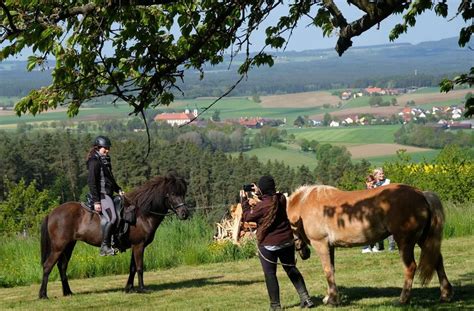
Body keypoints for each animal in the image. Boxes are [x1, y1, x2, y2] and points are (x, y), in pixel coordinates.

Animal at [39, 173, 190, 300]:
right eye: (172, 193)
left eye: (183, 193)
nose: (184, 213)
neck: (142, 214)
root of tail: (51, 213)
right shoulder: (139, 245)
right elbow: (140, 267)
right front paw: (142, 289)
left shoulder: (135, 246)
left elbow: (132, 268)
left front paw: (129, 288)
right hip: (59, 247)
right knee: (48, 266)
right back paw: (43, 295)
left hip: (69, 245)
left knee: (62, 266)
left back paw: (68, 292)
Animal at [286, 184, 454, 306]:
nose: (305, 254)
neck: (304, 204)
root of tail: (421, 194)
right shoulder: (330, 247)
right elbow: (332, 270)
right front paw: (330, 297)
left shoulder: (321, 244)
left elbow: (327, 271)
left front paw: (332, 300)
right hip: (424, 239)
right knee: (438, 261)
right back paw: (445, 294)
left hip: (404, 242)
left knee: (411, 267)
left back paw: (403, 299)